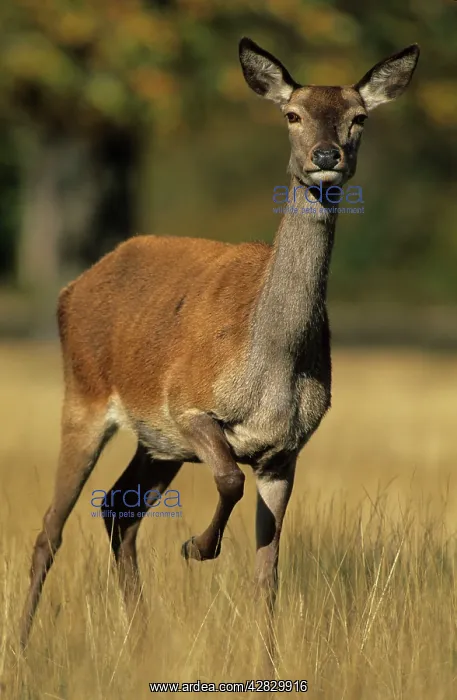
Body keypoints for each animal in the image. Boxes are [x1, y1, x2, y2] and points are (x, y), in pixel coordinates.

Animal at [20, 37, 420, 657]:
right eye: (292, 114)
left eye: (359, 117)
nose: (326, 155)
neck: (271, 368)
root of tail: (72, 287)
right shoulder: (189, 406)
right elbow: (230, 480)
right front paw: (195, 547)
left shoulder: (285, 452)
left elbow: (269, 566)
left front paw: (269, 656)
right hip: (84, 399)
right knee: (51, 526)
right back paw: (20, 645)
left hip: (155, 443)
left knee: (117, 509)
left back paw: (142, 643)